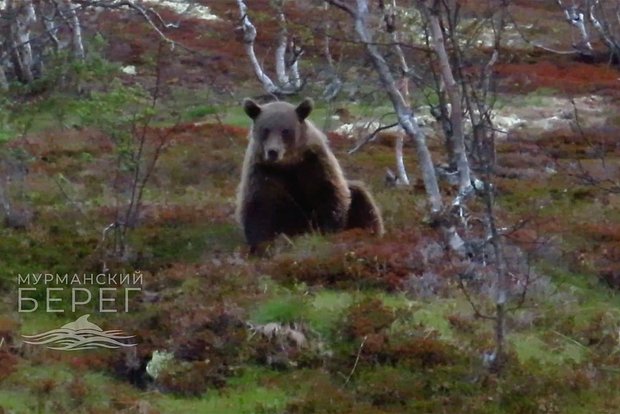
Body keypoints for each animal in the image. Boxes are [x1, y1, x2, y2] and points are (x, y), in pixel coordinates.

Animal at [237, 98, 382, 251]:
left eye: (285, 130)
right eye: (265, 130)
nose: (273, 152)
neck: (288, 164)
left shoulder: (315, 163)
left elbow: (329, 195)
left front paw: (328, 231)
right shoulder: (263, 172)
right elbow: (258, 206)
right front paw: (261, 245)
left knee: (363, 201)